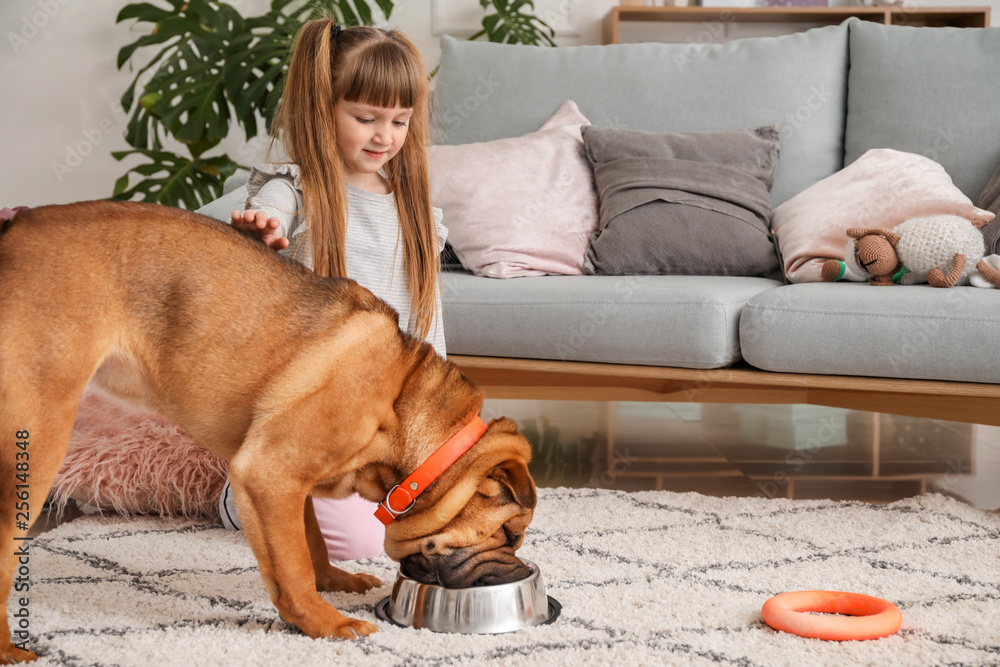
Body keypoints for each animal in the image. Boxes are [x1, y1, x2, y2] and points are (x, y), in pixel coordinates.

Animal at [0, 201, 540, 664]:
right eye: (511, 534)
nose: (521, 571)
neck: (402, 405)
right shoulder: (270, 472)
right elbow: (293, 564)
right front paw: (326, 624)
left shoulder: (287, 485)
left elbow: (309, 542)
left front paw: (333, 582)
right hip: (40, 436)